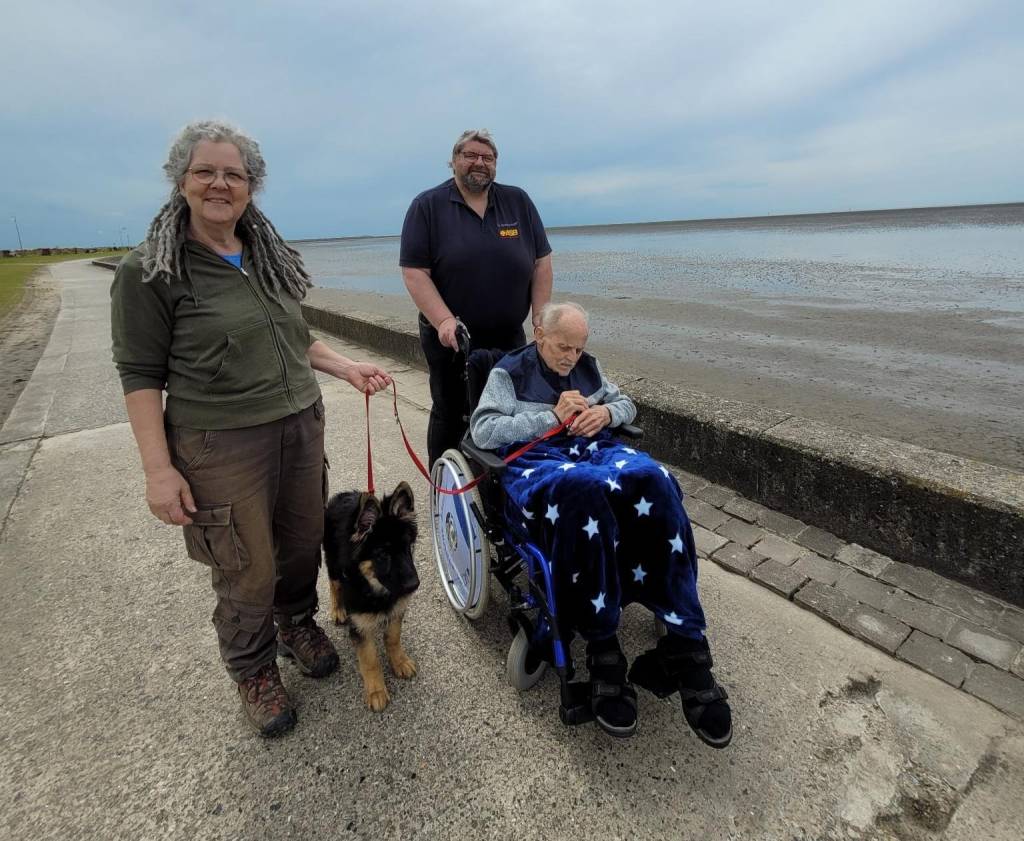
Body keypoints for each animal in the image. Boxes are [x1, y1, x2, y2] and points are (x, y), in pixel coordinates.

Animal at [319, 479, 415, 708]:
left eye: (408, 547)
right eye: (382, 554)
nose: (414, 585)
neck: (373, 587)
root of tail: (343, 495)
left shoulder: (396, 609)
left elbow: (393, 638)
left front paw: (399, 662)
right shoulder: (359, 623)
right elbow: (370, 658)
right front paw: (376, 691)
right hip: (333, 564)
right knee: (334, 584)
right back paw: (338, 610)